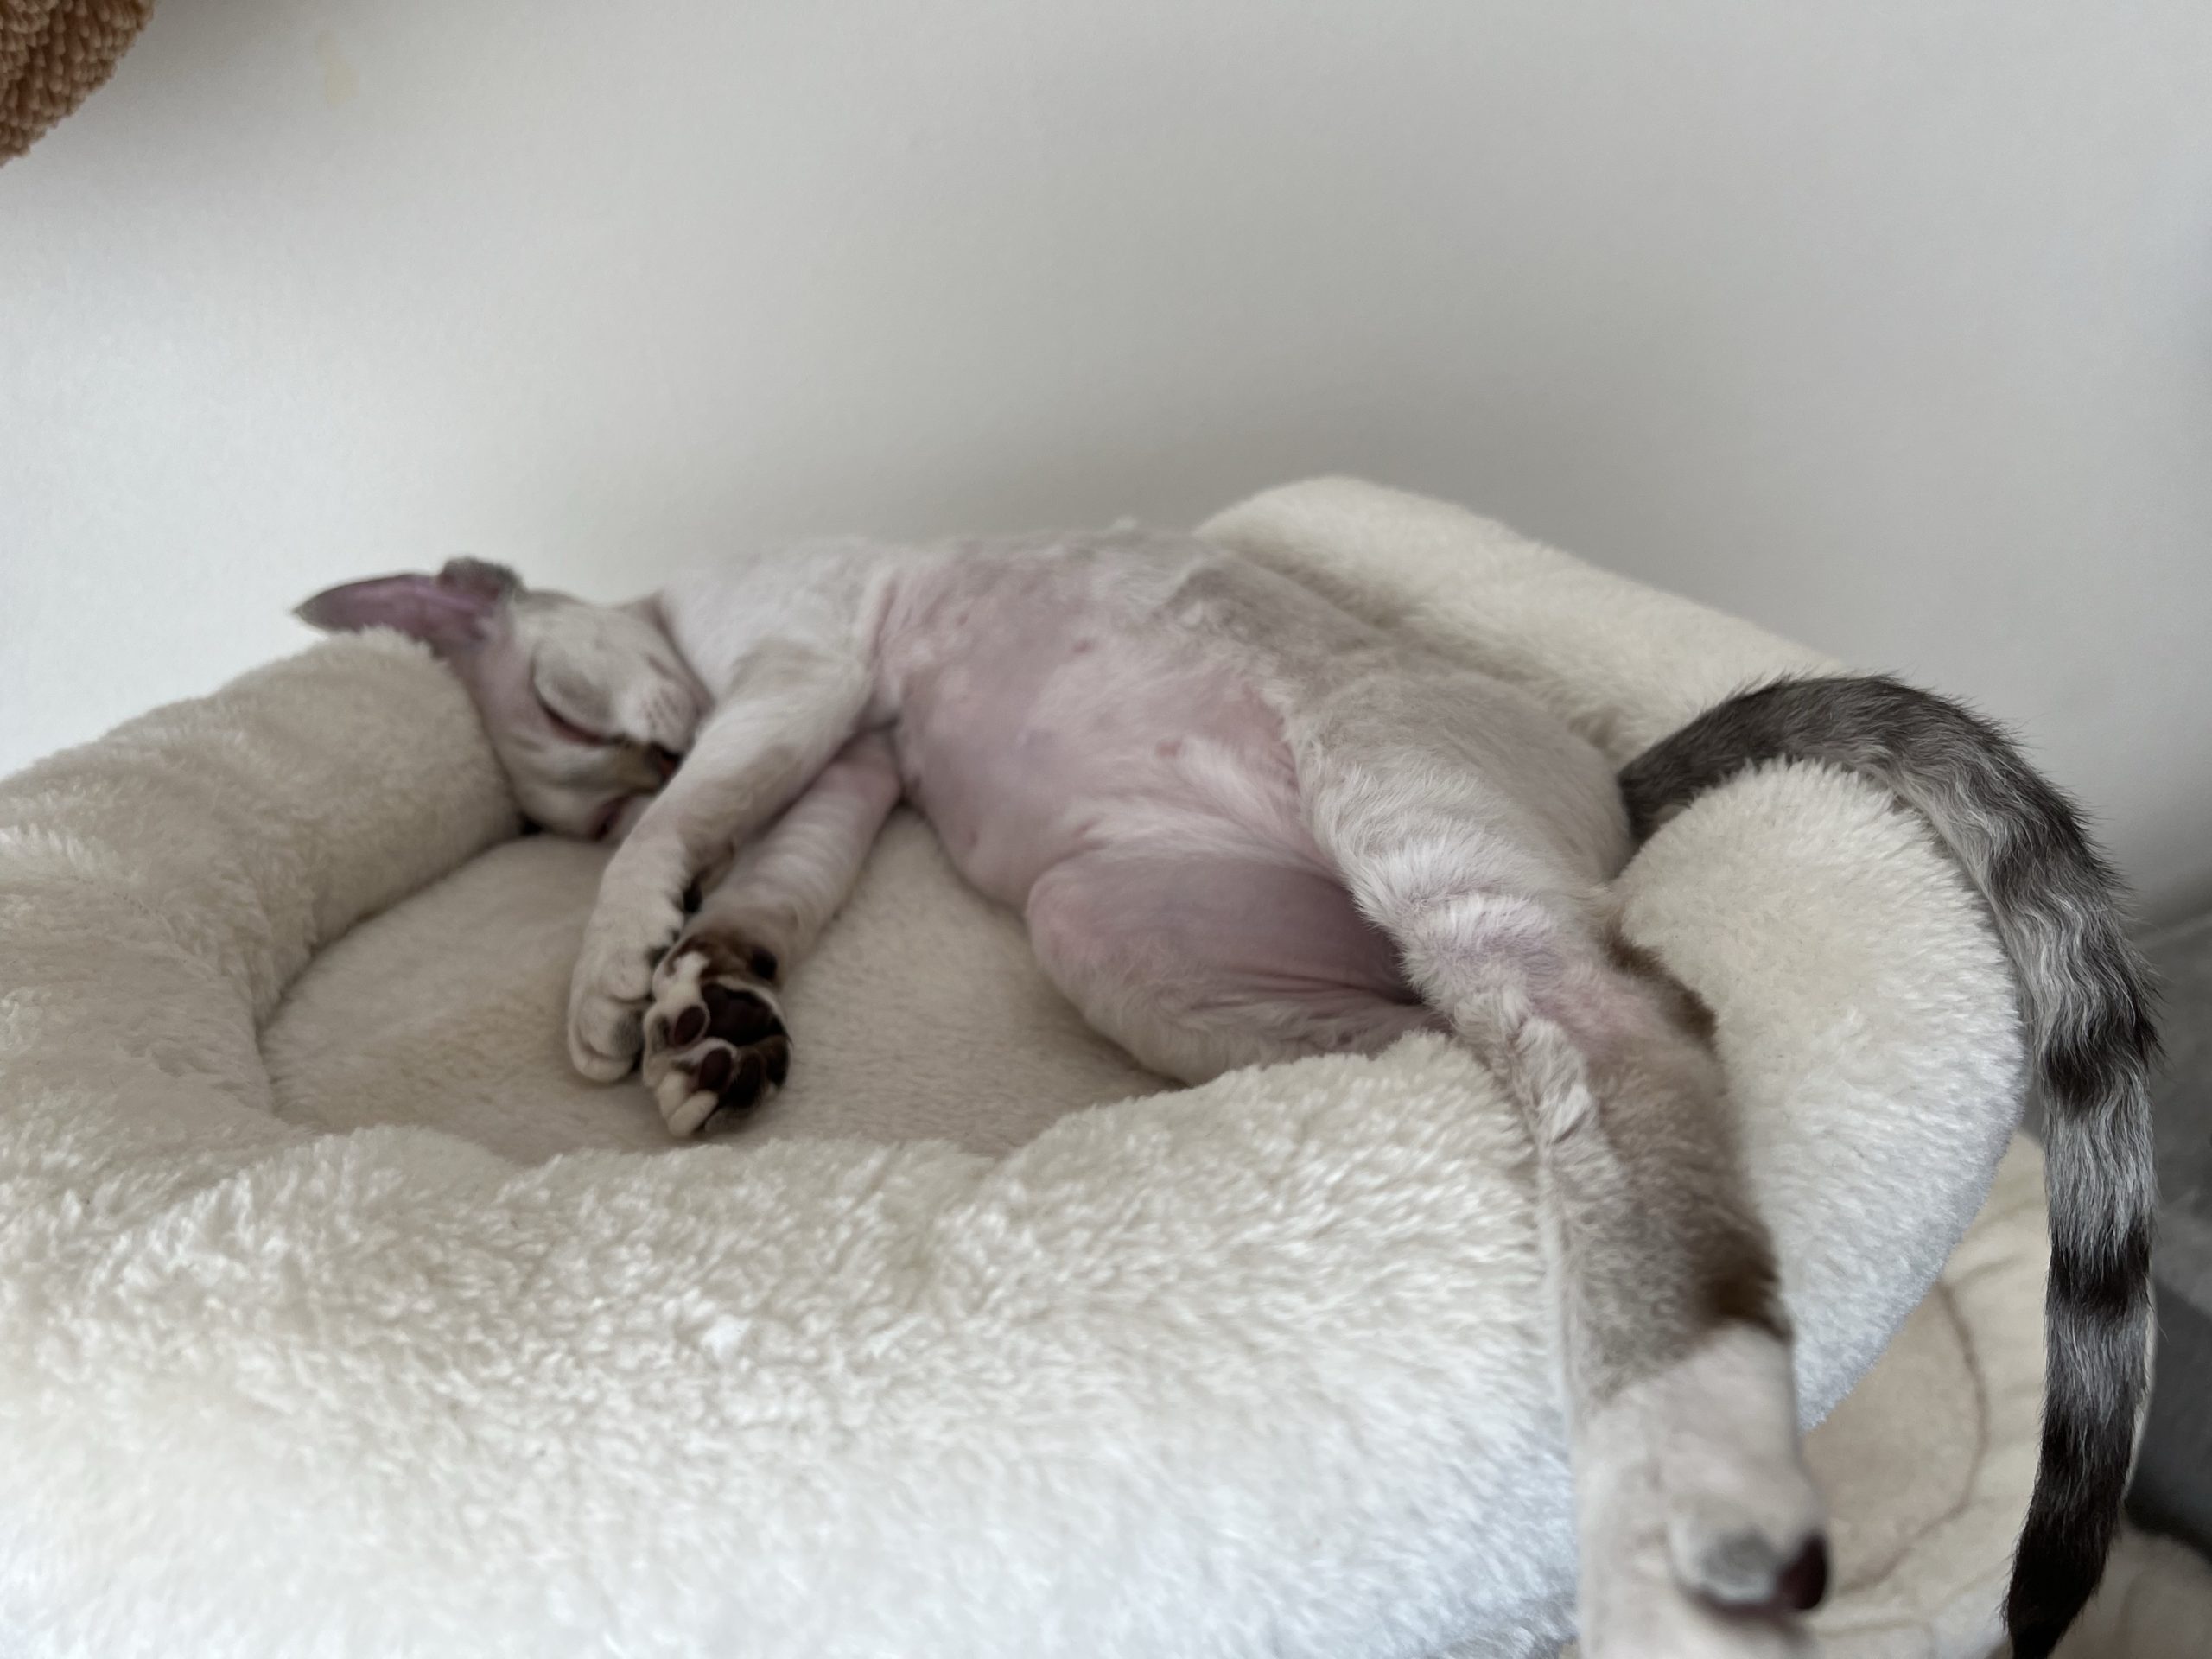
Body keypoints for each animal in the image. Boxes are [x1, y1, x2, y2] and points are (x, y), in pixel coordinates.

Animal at [300, 526, 2153, 1659]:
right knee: (1442, 1060)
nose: (631, 768)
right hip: (1117, 928)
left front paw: (624, 979)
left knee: (1611, 1033)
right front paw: (708, 1026)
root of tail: (1618, 792)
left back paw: (1675, 1530)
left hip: (1379, 797)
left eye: (572, 719)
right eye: (570, 766)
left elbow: (701, 836)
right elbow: (766, 891)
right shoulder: (853, 768)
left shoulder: (800, 686)